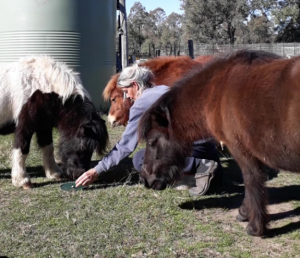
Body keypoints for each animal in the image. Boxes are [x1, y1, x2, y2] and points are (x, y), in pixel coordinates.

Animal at [0, 56, 108, 188]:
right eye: (83, 146)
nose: (78, 175)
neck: (40, 87)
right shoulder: (25, 125)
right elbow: (22, 148)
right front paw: (22, 180)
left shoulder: (44, 125)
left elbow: (48, 147)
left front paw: (54, 173)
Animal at [138, 49, 296, 237]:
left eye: (152, 142)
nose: (145, 179)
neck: (218, 93)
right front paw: (244, 212)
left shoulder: (243, 152)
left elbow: (252, 182)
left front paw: (256, 226)